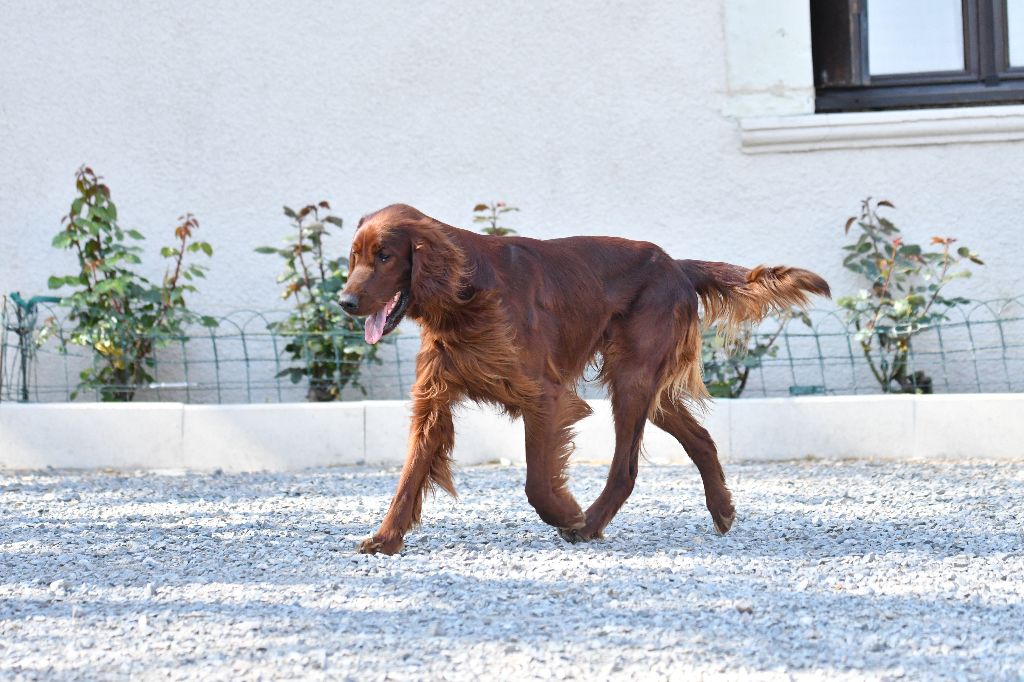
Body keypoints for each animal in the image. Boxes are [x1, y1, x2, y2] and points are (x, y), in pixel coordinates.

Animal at [339, 202, 827, 552]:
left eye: (385, 256)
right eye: (354, 257)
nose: (345, 301)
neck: (463, 294)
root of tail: (676, 265)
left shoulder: (545, 396)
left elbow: (537, 482)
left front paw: (567, 515)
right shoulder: (434, 400)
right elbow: (410, 473)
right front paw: (385, 538)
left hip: (632, 379)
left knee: (626, 469)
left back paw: (589, 524)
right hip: (645, 385)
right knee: (701, 439)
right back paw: (722, 510)